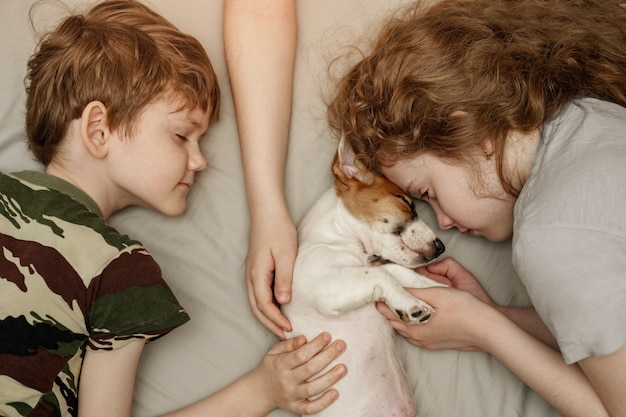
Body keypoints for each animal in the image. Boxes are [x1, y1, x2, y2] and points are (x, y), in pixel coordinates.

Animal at [280, 137, 446, 416]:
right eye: (405, 202)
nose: (441, 247)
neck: (339, 241)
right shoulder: (329, 288)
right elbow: (381, 275)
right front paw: (410, 304)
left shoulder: (368, 267)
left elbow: (395, 271)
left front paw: (436, 286)